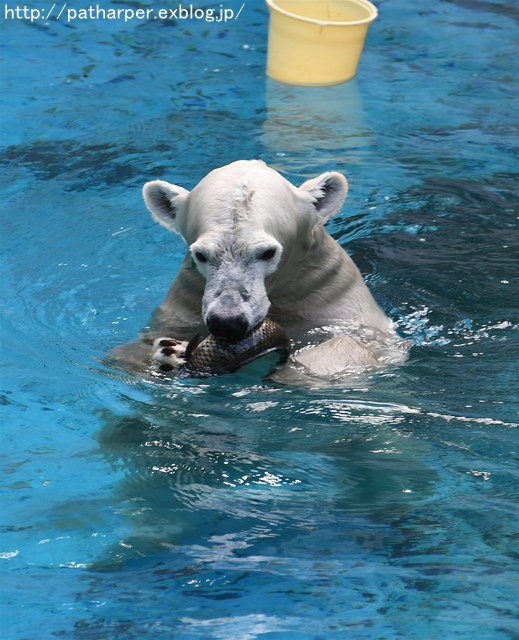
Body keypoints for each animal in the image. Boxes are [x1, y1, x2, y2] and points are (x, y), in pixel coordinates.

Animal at [108, 161, 402, 380]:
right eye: (201, 255)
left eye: (267, 252)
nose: (227, 322)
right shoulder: (185, 303)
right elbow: (124, 355)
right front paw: (169, 352)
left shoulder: (331, 296)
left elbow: (354, 347)